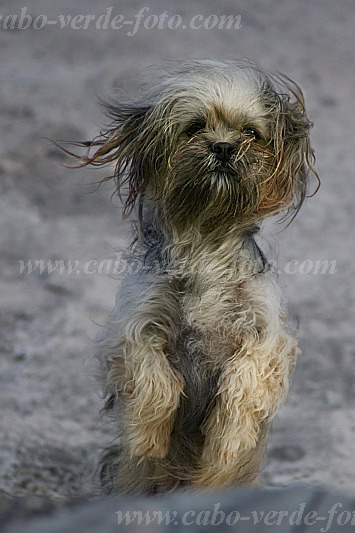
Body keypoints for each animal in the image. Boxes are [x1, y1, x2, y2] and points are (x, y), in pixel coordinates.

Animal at [71, 59, 318, 494]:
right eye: (195, 127)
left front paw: (226, 444)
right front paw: (148, 438)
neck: (206, 240)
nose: (223, 147)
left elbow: (243, 381)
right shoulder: (138, 326)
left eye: (251, 133)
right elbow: (156, 380)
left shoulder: (267, 337)